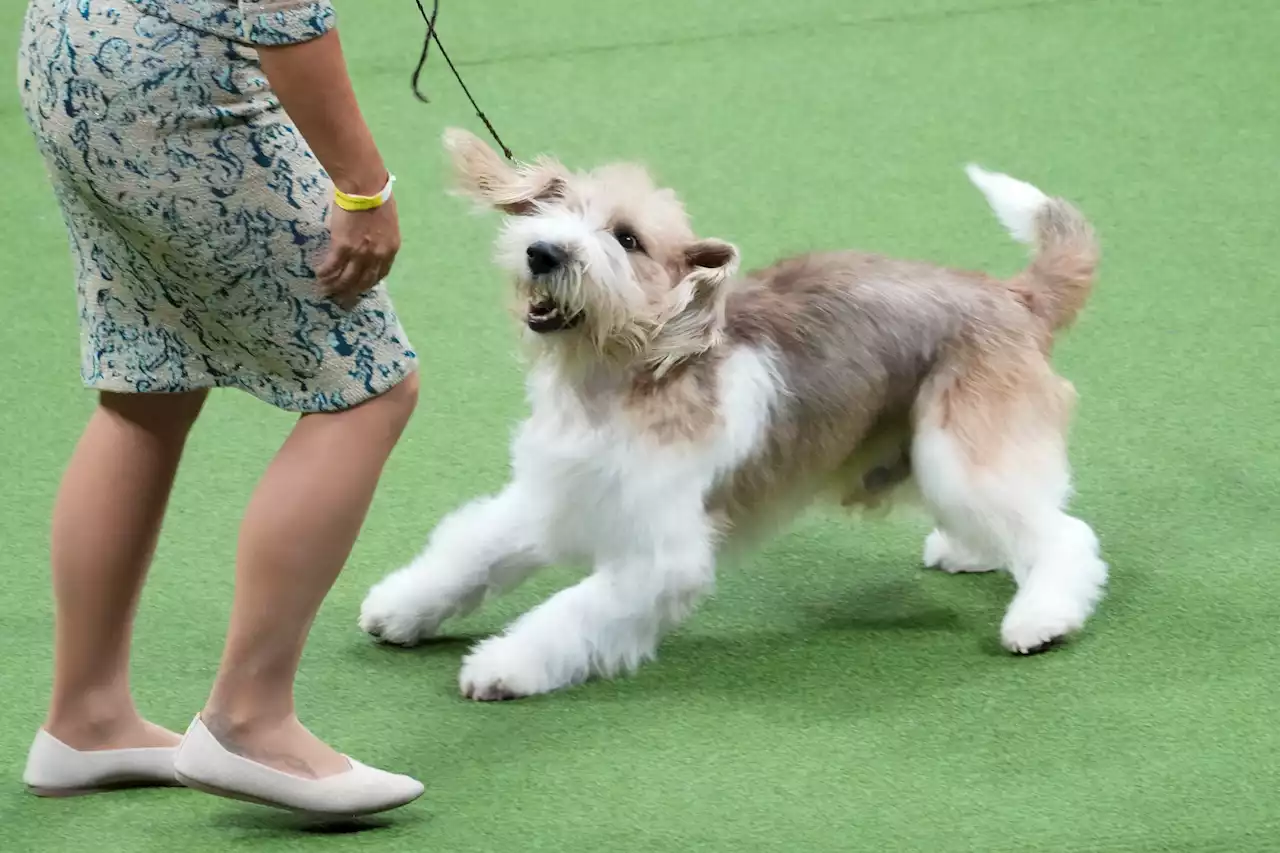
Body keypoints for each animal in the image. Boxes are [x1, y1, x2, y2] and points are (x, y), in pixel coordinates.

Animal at [355, 126, 1105, 696]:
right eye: (552, 208)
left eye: (627, 239)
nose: (544, 252)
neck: (614, 382)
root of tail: (1012, 296)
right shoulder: (550, 497)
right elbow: (469, 552)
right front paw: (398, 609)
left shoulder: (660, 556)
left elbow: (568, 612)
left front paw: (502, 666)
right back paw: (971, 553)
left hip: (961, 451)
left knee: (1065, 535)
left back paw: (1039, 619)